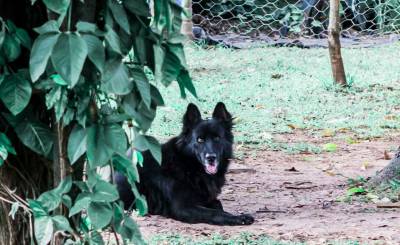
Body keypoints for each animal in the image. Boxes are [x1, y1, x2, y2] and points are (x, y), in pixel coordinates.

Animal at [115, 102, 253, 225]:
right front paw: (239, 218)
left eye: (217, 138)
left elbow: (218, 204)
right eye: (200, 139)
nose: (211, 158)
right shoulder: (183, 208)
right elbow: (215, 212)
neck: (187, 164)